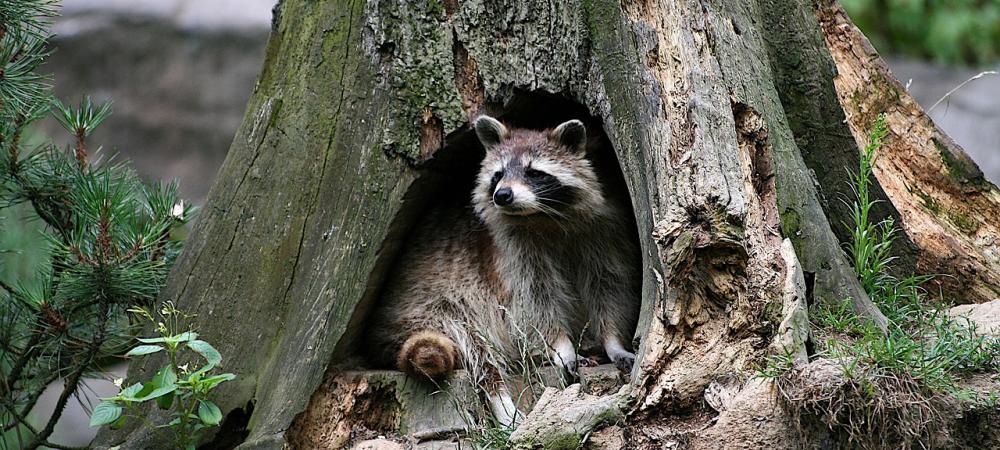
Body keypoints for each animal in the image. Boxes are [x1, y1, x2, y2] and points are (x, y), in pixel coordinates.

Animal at [366, 115, 640, 426]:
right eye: (497, 175)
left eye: (534, 173)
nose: (503, 195)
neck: (544, 216)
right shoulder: (508, 253)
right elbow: (534, 303)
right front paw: (562, 346)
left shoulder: (604, 232)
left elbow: (609, 285)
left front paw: (612, 341)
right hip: (437, 309)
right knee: (478, 350)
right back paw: (503, 402)